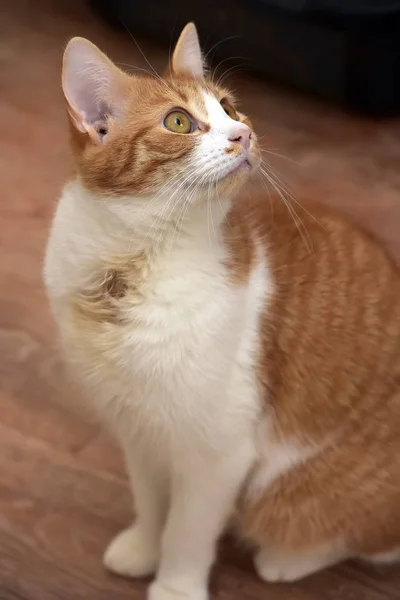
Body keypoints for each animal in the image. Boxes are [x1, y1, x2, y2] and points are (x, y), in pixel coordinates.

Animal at [43, 22, 400, 600]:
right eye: (178, 121)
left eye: (230, 108)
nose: (243, 135)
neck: (130, 271)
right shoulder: (139, 430)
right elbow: (151, 504)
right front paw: (143, 548)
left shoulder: (218, 454)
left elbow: (187, 531)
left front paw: (174, 586)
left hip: (287, 496)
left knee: (359, 539)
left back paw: (284, 560)